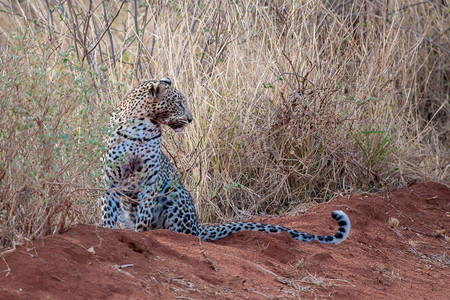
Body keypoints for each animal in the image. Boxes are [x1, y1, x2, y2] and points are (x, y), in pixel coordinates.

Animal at [102, 78, 352, 245]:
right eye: (179, 103)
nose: (190, 119)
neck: (141, 128)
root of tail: (198, 225)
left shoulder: (151, 181)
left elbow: (144, 216)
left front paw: (141, 235)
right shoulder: (111, 180)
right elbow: (107, 213)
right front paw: (106, 231)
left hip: (176, 195)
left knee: (185, 233)